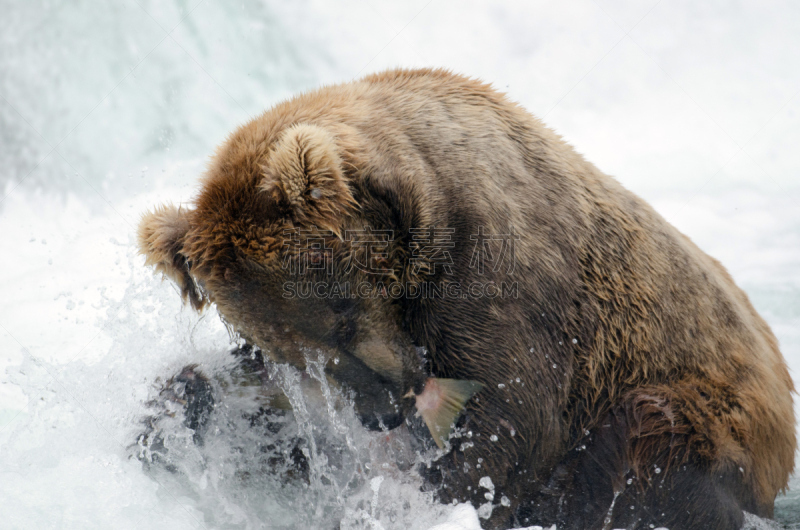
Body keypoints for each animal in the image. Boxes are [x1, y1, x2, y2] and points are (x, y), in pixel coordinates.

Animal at [138, 68, 792, 524]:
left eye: (341, 313)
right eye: (285, 350)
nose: (383, 410)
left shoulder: (503, 275)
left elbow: (514, 414)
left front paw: (437, 495)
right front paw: (177, 403)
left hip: (711, 405)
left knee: (648, 437)